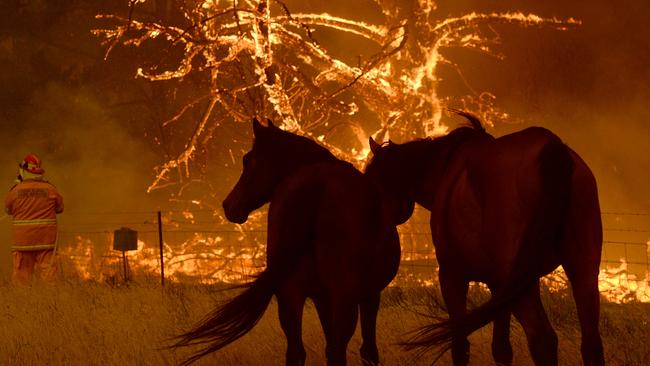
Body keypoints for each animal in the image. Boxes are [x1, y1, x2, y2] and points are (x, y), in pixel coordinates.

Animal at [171, 118, 400, 366]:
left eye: (248, 160)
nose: (228, 205)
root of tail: (316, 183)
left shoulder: (323, 297)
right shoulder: (367, 295)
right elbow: (367, 351)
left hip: (291, 295)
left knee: (298, 352)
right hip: (339, 297)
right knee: (336, 351)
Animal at [364, 111, 604, 366]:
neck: (445, 170)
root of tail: (552, 148)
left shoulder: (453, 276)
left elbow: (460, 345)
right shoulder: (499, 286)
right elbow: (501, 348)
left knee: (543, 339)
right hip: (582, 272)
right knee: (591, 343)